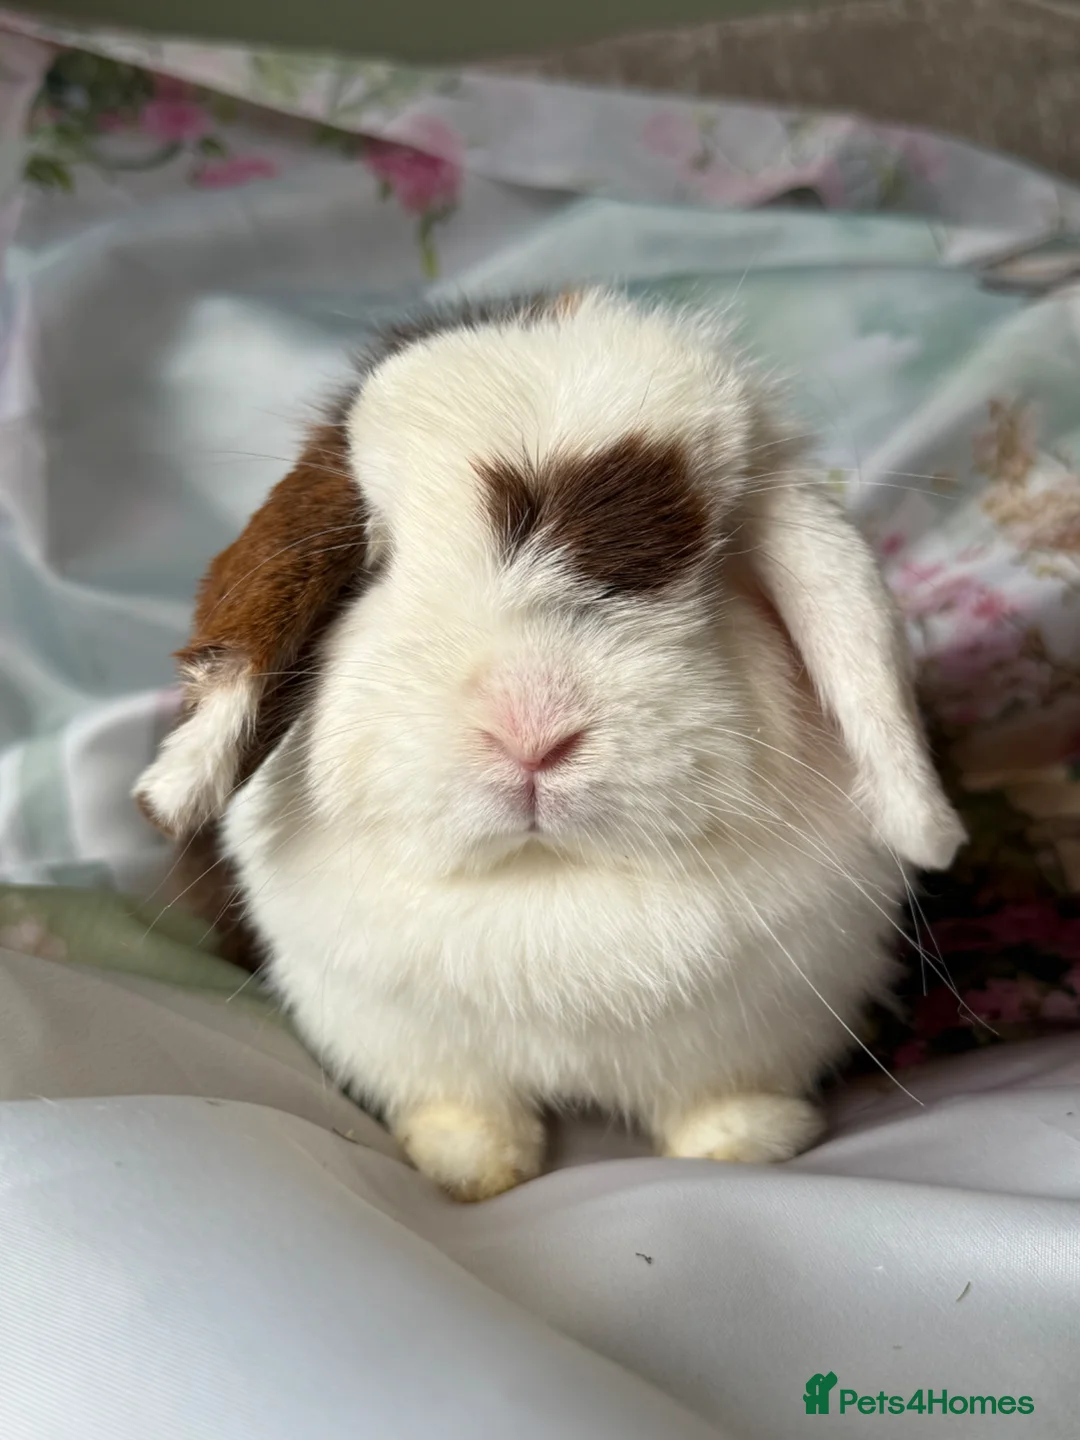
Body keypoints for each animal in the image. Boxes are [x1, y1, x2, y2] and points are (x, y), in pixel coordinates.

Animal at [135, 289, 965, 1201]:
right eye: (376, 564)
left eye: (716, 566)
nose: (531, 729)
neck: (545, 883)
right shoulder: (393, 1029)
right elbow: (462, 1103)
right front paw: (470, 1167)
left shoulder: (767, 1019)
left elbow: (721, 1094)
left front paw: (747, 1143)